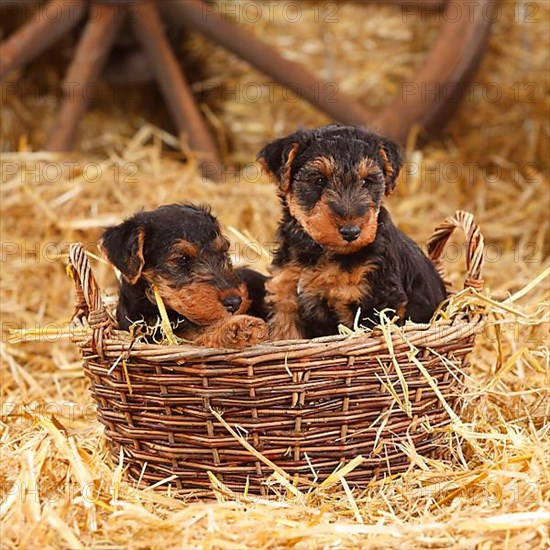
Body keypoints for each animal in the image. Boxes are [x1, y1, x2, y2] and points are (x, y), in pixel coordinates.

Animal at [258, 125, 448, 340]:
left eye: (366, 181)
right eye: (319, 180)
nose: (351, 232)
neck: (320, 252)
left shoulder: (375, 301)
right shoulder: (286, 300)